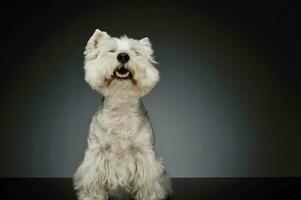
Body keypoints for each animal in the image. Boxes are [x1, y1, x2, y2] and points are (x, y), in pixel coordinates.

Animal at [73, 28, 171, 200]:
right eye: (112, 51)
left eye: (135, 52)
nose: (123, 56)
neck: (121, 105)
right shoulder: (97, 151)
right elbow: (93, 177)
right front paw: (93, 196)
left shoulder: (144, 151)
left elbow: (148, 180)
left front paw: (149, 196)